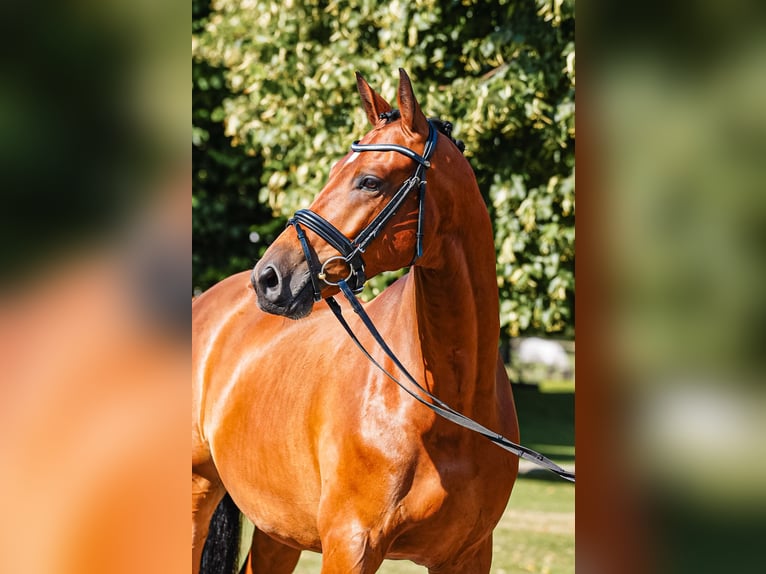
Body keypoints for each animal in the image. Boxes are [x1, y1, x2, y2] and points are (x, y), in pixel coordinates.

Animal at [192, 69, 520, 574]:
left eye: (369, 181)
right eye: (331, 172)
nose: (268, 278)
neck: (448, 406)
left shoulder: (468, 555)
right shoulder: (351, 544)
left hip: (279, 530)